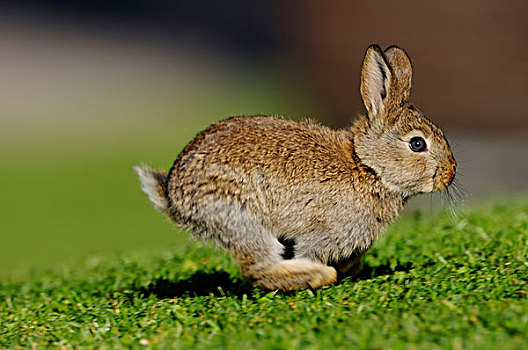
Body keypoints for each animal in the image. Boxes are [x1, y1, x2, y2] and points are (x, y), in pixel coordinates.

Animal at [134, 43, 456, 290]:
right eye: (417, 144)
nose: (450, 174)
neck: (367, 167)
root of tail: (172, 195)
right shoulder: (323, 233)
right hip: (240, 216)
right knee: (258, 269)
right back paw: (319, 275)